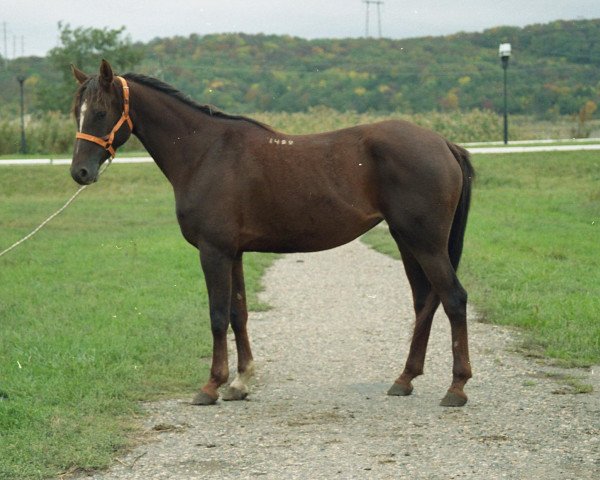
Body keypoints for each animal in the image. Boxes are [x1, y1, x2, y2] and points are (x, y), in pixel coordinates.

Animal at [69, 59, 474, 404]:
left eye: (101, 112)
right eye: (77, 113)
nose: (80, 172)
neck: (206, 152)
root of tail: (444, 143)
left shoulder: (213, 251)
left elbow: (217, 315)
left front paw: (212, 385)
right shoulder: (232, 252)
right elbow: (239, 314)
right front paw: (240, 381)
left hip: (425, 243)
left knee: (453, 298)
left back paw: (456, 388)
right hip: (407, 241)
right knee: (424, 300)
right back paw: (405, 379)